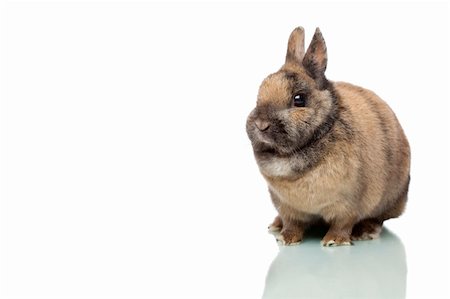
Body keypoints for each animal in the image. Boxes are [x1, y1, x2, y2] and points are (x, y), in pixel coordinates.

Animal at [246, 27, 412, 247]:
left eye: (299, 99)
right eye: (259, 94)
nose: (261, 125)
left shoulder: (348, 202)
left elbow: (343, 223)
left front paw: (334, 241)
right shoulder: (285, 204)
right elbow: (292, 223)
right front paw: (286, 238)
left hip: (390, 199)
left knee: (378, 218)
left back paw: (365, 231)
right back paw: (276, 225)